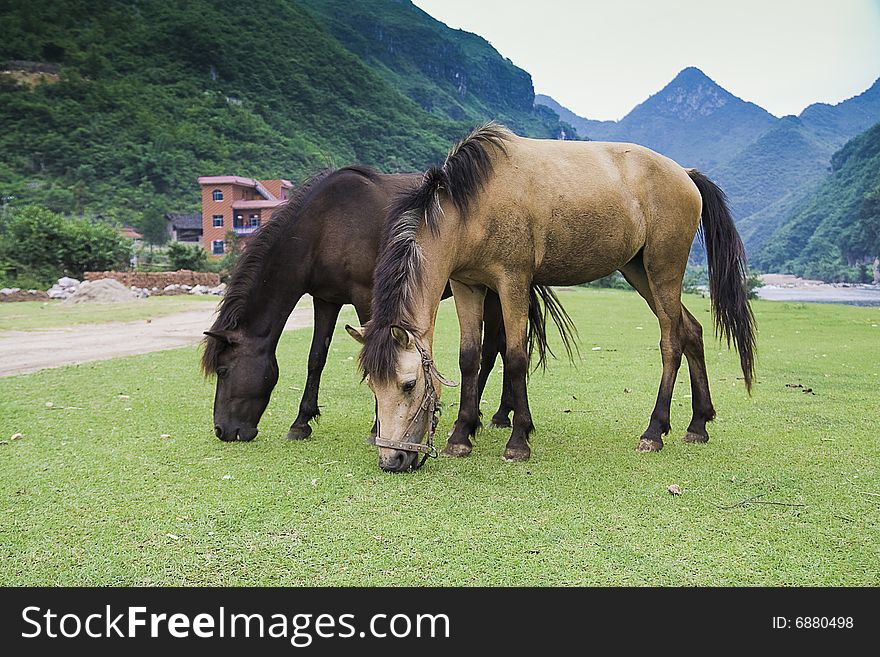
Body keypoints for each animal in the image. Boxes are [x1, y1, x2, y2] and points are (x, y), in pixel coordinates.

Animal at [202, 167, 576, 448]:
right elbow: (316, 359)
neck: (325, 225)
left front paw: (374, 428)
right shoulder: (326, 299)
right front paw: (302, 422)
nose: (222, 430)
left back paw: (490, 418)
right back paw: (499, 415)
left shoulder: (366, 297)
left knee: (494, 349)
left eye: (224, 370)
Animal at [350, 123, 756, 472]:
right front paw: (461, 436)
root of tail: (685, 174)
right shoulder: (468, 286)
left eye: (409, 384)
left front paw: (518, 440)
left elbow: (516, 357)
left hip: (663, 270)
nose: (392, 460)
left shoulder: (512, 282)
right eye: (372, 384)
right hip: (639, 272)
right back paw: (698, 424)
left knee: (671, 340)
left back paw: (654, 431)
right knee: (691, 330)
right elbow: (470, 359)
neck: (473, 206)